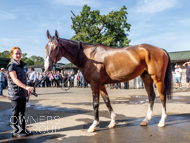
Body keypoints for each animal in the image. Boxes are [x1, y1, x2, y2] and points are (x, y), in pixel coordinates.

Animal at [44, 30, 172, 133]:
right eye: (46, 47)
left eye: (56, 47)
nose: (47, 67)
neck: (88, 57)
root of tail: (161, 50)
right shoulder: (101, 85)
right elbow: (107, 102)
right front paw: (112, 122)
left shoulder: (95, 84)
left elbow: (95, 104)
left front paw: (93, 125)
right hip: (146, 77)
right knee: (151, 96)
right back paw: (145, 120)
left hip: (157, 78)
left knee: (162, 96)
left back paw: (162, 121)